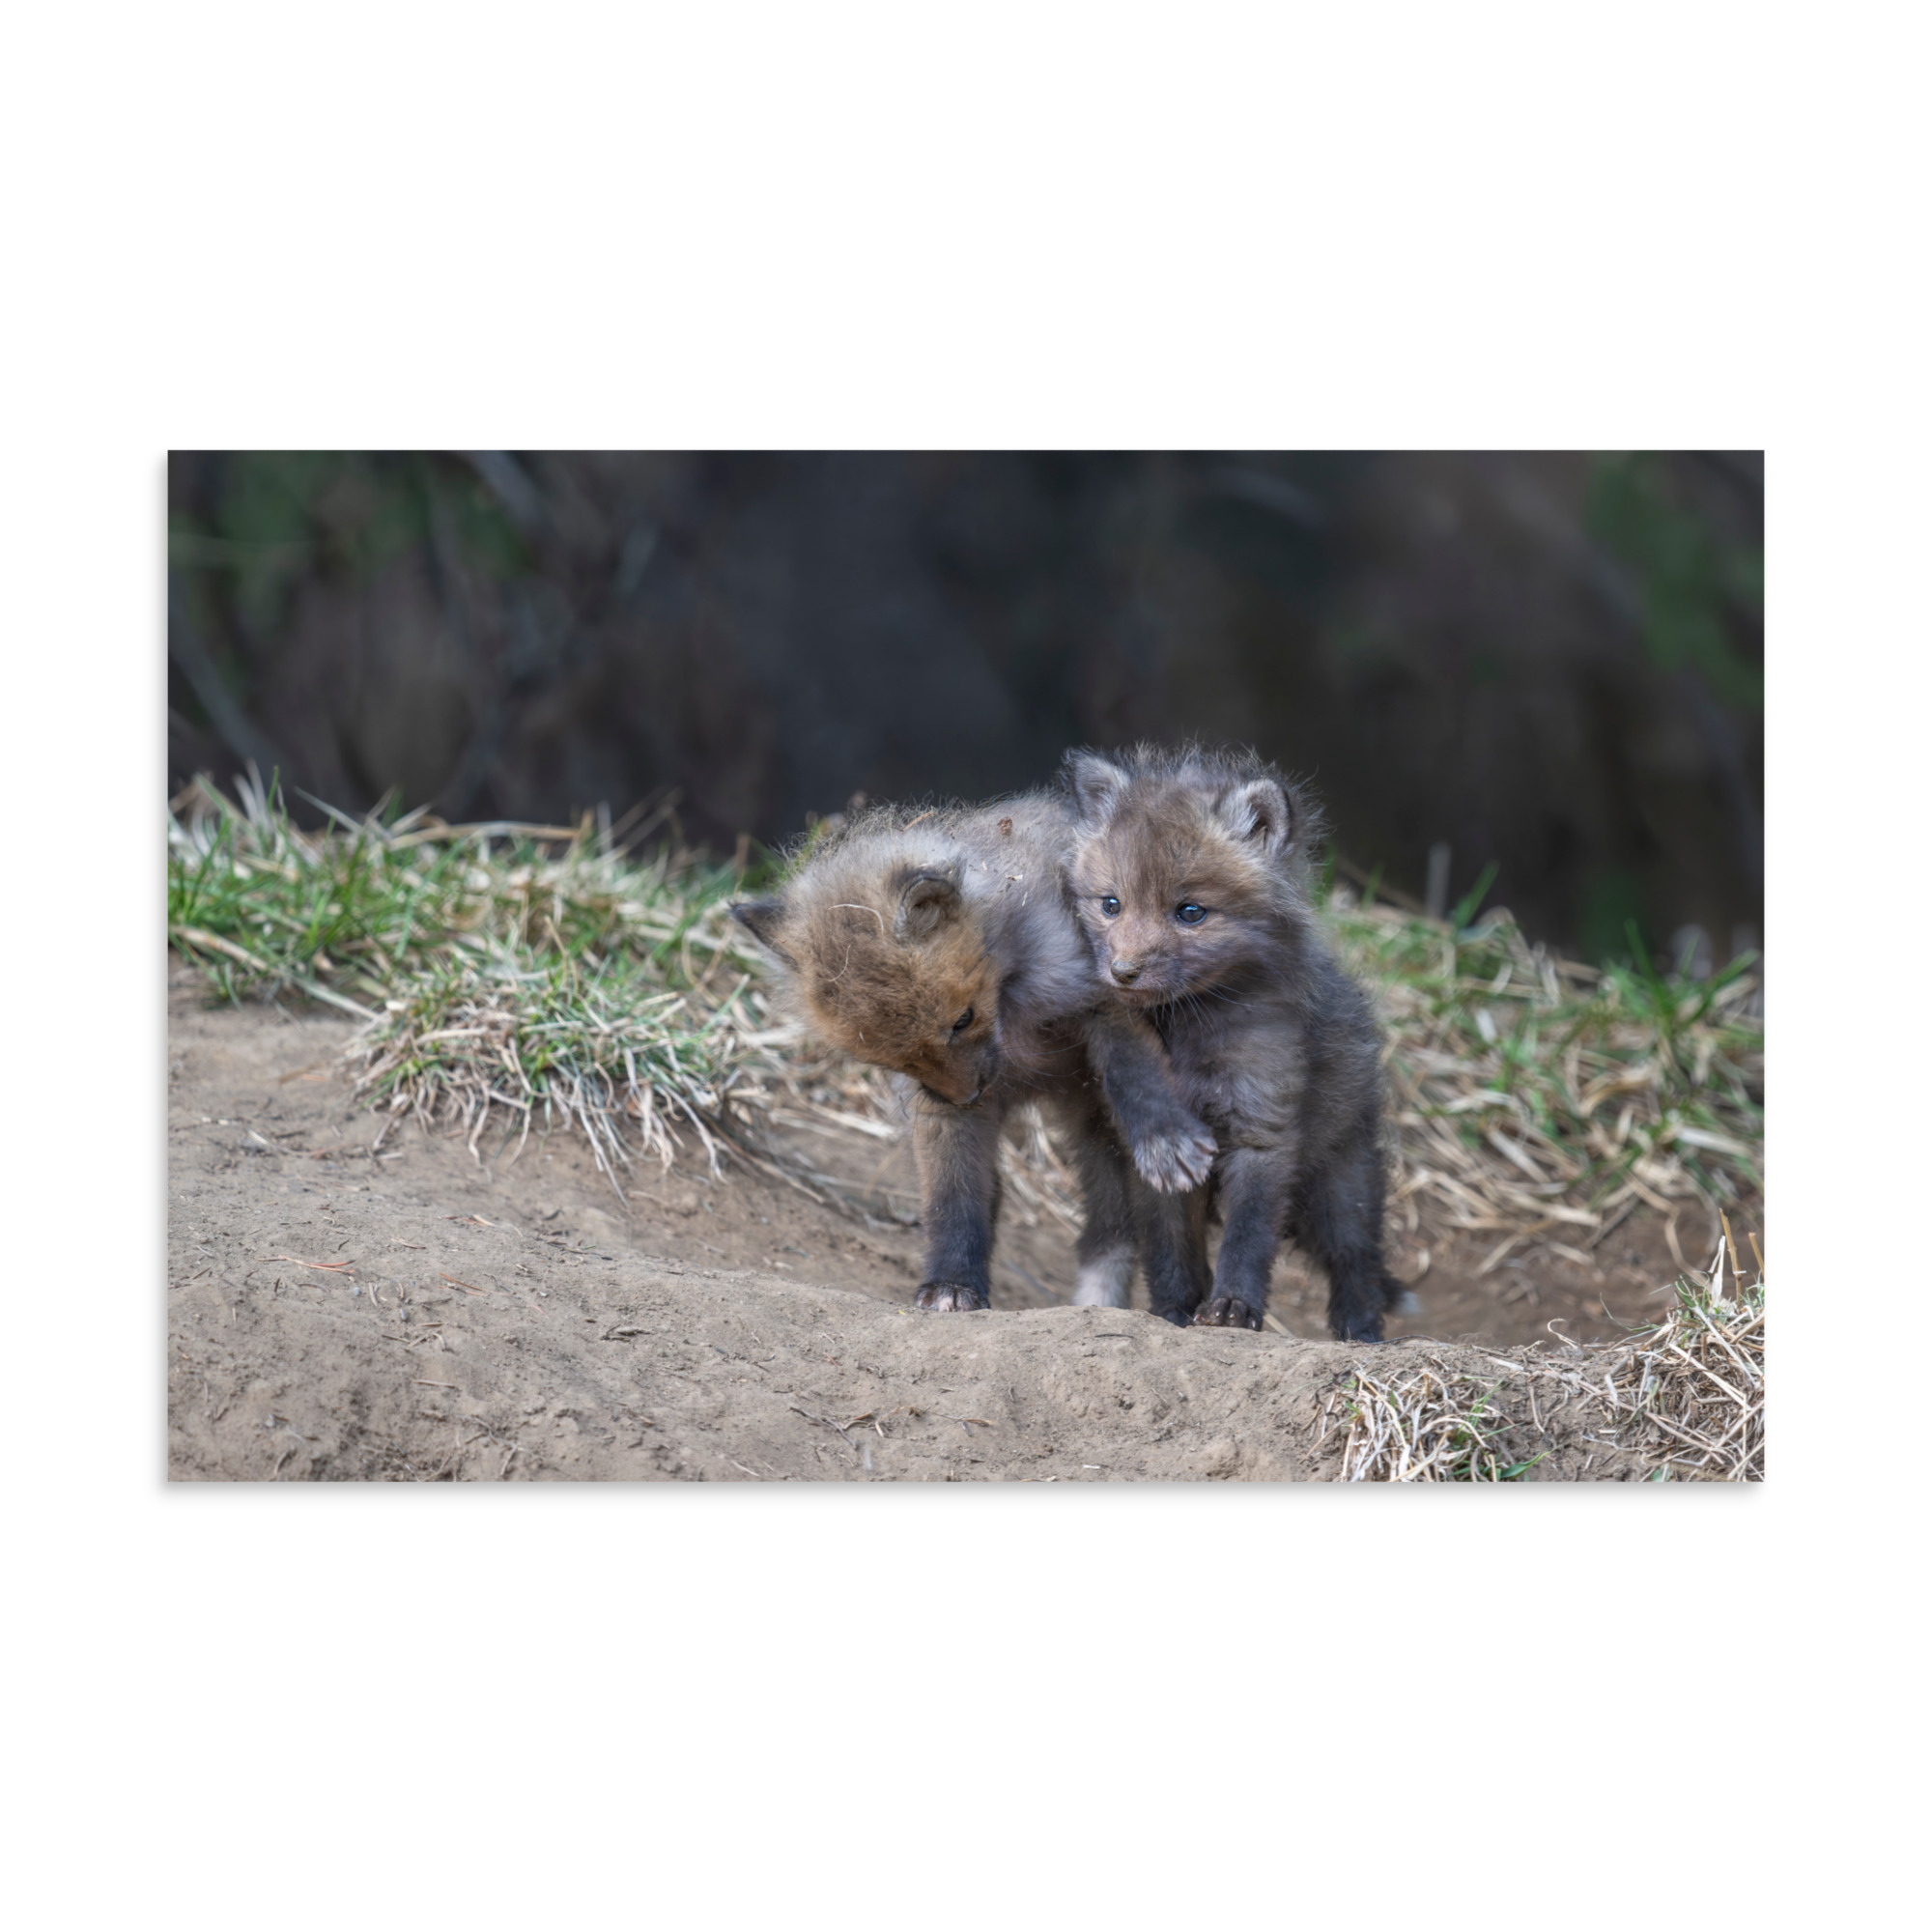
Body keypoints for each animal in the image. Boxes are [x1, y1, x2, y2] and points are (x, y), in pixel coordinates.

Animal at [730, 792, 1218, 1314]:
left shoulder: (1104, 996)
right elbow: (953, 1198)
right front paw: (952, 1283)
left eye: (962, 1020)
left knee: (1159, 1232)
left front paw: (1164, 1137)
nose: (967, 1097)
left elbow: (1135, 1073)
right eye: (890, 1059)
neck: (1013, 1012)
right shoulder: (936, 1107)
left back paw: (1177, 1309)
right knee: (1105, 1228)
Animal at [1063, 744, 1416, 1341]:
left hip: (1341, 1187)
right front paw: (1174, 1312)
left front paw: (1233, 1307)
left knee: (1358, 1262)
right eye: (1111, 904)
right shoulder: (1158, 1155)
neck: (1187, 1032)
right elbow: (1170, 1250)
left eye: (1190, 912)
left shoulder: (1262, 1129)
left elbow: (1248, 1238)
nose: (1122, 972)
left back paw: (1361, 1334)